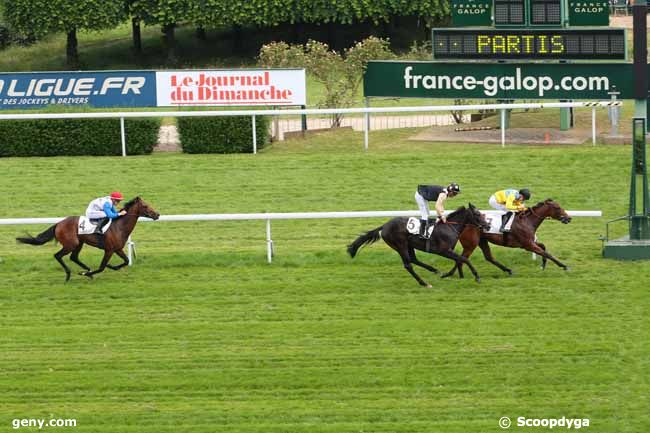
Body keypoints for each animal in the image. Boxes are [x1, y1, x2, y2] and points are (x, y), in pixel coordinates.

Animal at [16, 197, 159, 282]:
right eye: (145, 206)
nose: (157, 214)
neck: (119, 226)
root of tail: (58, 224)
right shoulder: (109, 250)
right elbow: (101, 267)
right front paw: (86, 274)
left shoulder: (117, 249)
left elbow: (126, 261)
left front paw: (111, 266)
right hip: (71, 244)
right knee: (58, 255)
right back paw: (70, 274)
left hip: (79, 243)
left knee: (73, 257)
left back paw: (87, 270)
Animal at [346, 203, 488, 286]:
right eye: (477, 214)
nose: (487, 225)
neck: (449, 227)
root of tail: (384, 226)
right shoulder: (444, 250)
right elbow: (464, 259)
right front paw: (477, 277)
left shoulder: (449, 251)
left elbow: (460, 260)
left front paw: (450, 274)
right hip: (400, 245)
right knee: (408, 264)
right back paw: (424, 283)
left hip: (409, 245)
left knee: (413, 259)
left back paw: (434, 270)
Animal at [440, 197, 572, 278]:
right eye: (557, 208)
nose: (568, 218)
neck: (527, 221)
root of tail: (462, 223)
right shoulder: (528, 245)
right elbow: (547, 253)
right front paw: (564, 266)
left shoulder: (529, 243)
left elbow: (543, 248)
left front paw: (543, 264)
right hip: (471, 244)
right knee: (461, 258)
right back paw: (454, 275)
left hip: (481, 241)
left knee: (487, 257)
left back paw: (508, 270)